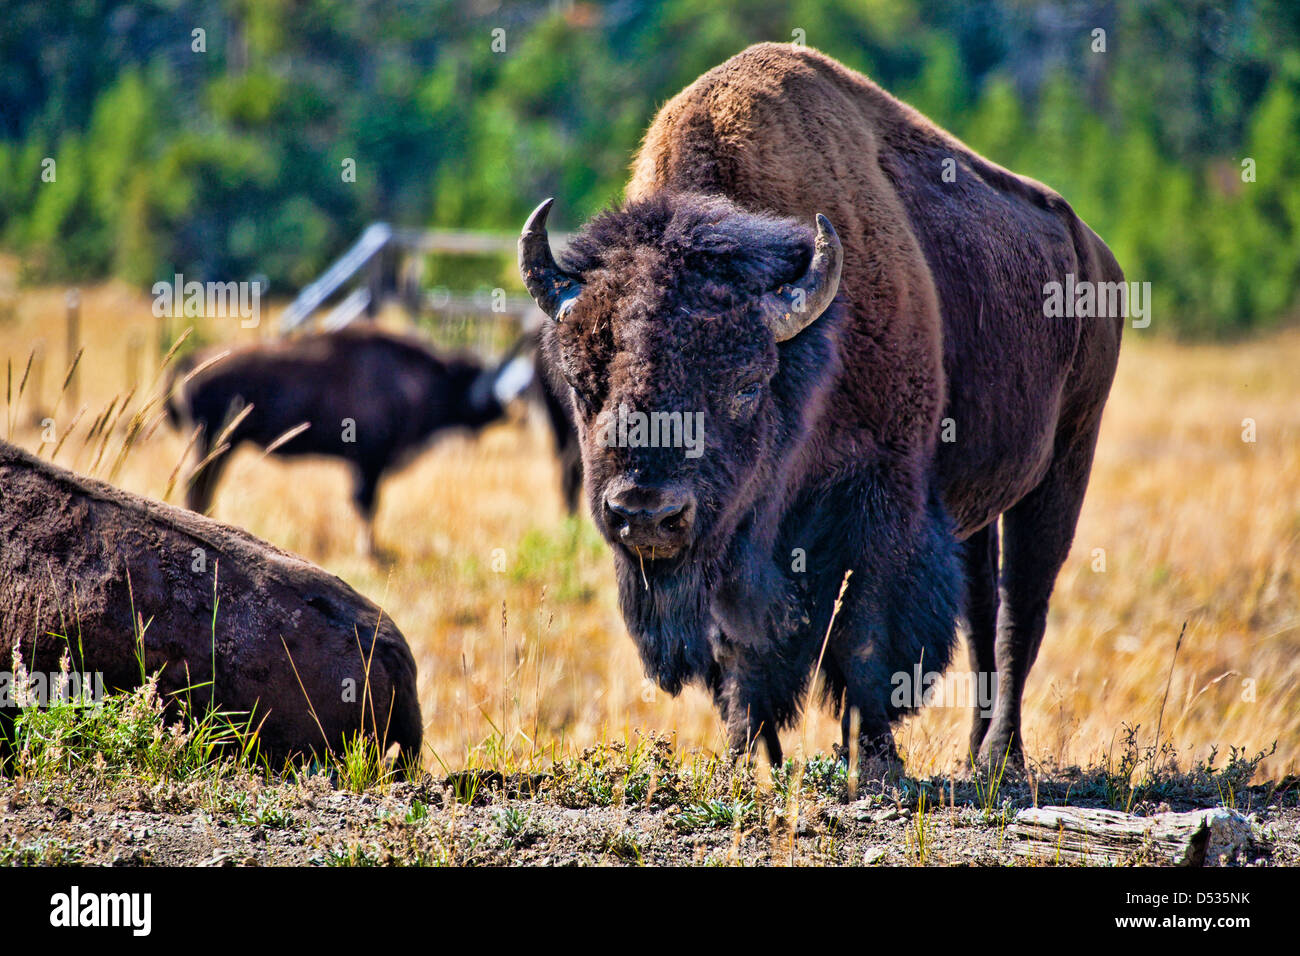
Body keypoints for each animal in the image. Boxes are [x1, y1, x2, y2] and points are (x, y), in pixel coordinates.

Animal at [522, 46, 1123, 780]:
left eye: (746, 385)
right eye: (582, 384)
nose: (645, 512)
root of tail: (1095, 253)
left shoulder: (879, 498)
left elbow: (864, 636)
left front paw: (876, 765)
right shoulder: (737, 540)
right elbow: (740, 648)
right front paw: (747, 760)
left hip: (1066, 461)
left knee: (1019, 614)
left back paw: (998, 761)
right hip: (977, 506)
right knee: (982, 611)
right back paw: (973, 753)